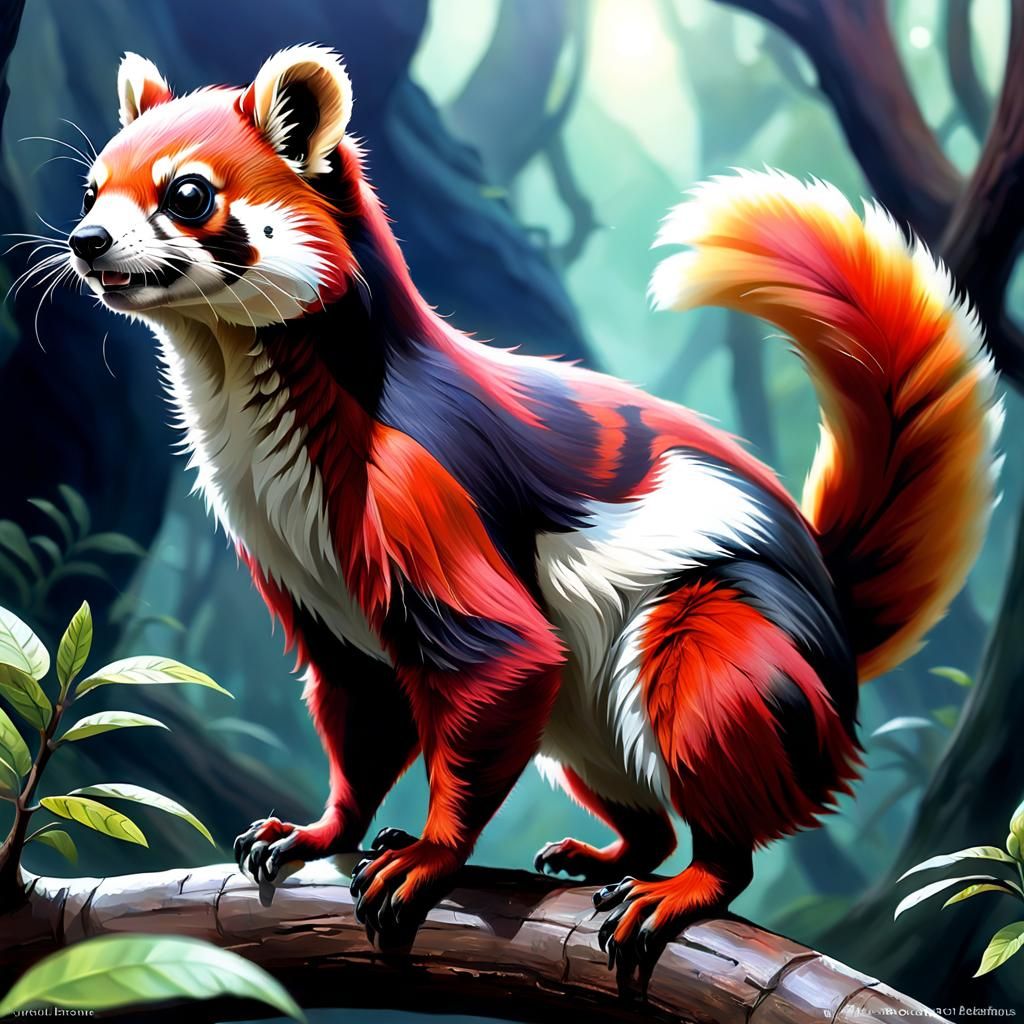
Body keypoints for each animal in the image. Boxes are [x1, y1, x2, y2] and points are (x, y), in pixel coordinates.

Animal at [66, 47, 1001, 980]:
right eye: (89, 190)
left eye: (189, 194)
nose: (85, 241)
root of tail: (830, 602)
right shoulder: (308, 587)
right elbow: (359, 712)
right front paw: (320, 830)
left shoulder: (421, 492)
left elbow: (505, 658)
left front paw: (430, 854)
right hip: (583, 726)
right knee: (643, 811)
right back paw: (610, 853)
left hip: (723, 638)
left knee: (711, 767)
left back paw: (687, 883)